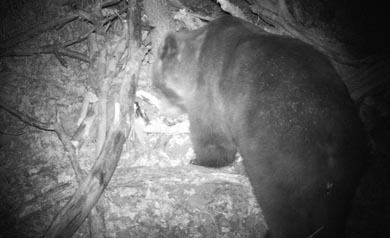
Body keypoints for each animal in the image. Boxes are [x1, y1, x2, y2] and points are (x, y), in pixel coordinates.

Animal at [152, 15, 368, 238]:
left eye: (160, 87)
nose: (164, 114)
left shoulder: (210, 86)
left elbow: (213, 135)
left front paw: (199, 160)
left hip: (278, 162)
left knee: (282, 209)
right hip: (345, 173)